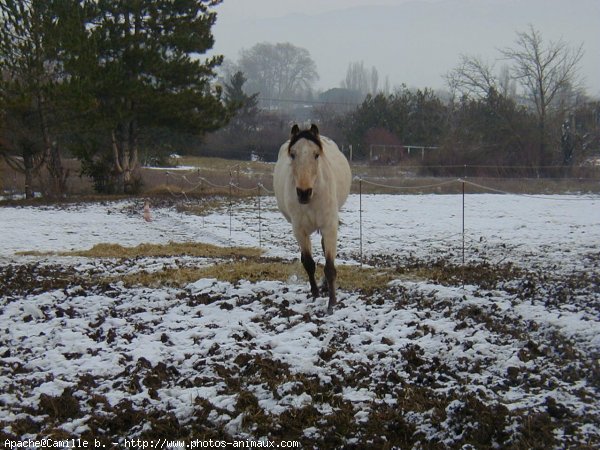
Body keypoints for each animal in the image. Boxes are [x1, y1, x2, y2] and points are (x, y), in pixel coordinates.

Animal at [274, 123, 352, 312]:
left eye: (316, 154)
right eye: (292, 154)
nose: (303, 192)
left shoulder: (329, 226)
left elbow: (330, 266)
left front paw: (332, 303)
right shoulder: (299, 230)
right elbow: (308, 263)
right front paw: (315, 294)